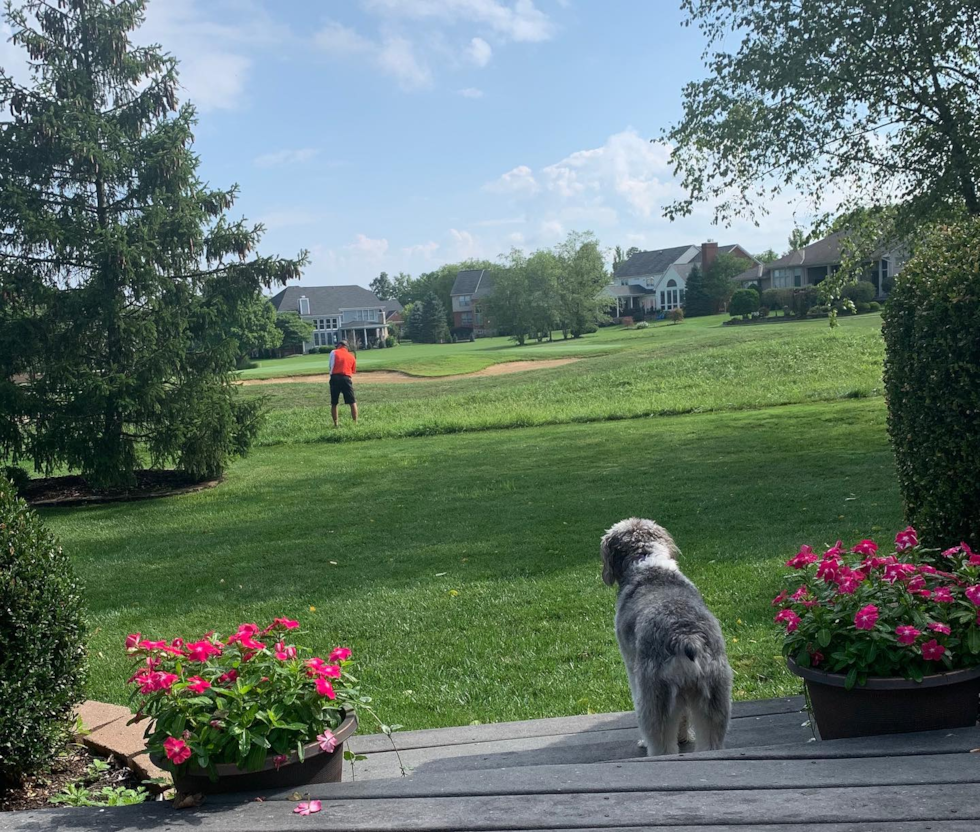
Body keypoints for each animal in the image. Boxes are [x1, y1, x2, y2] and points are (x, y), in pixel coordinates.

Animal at [600, 516, 732, 756]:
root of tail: (686, 636)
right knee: (709, 741)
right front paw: (683, 737)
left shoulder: (632, 670)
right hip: (713, 702)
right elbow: (683, 718)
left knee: (661, 745)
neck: (647, 563)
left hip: (655, 701)